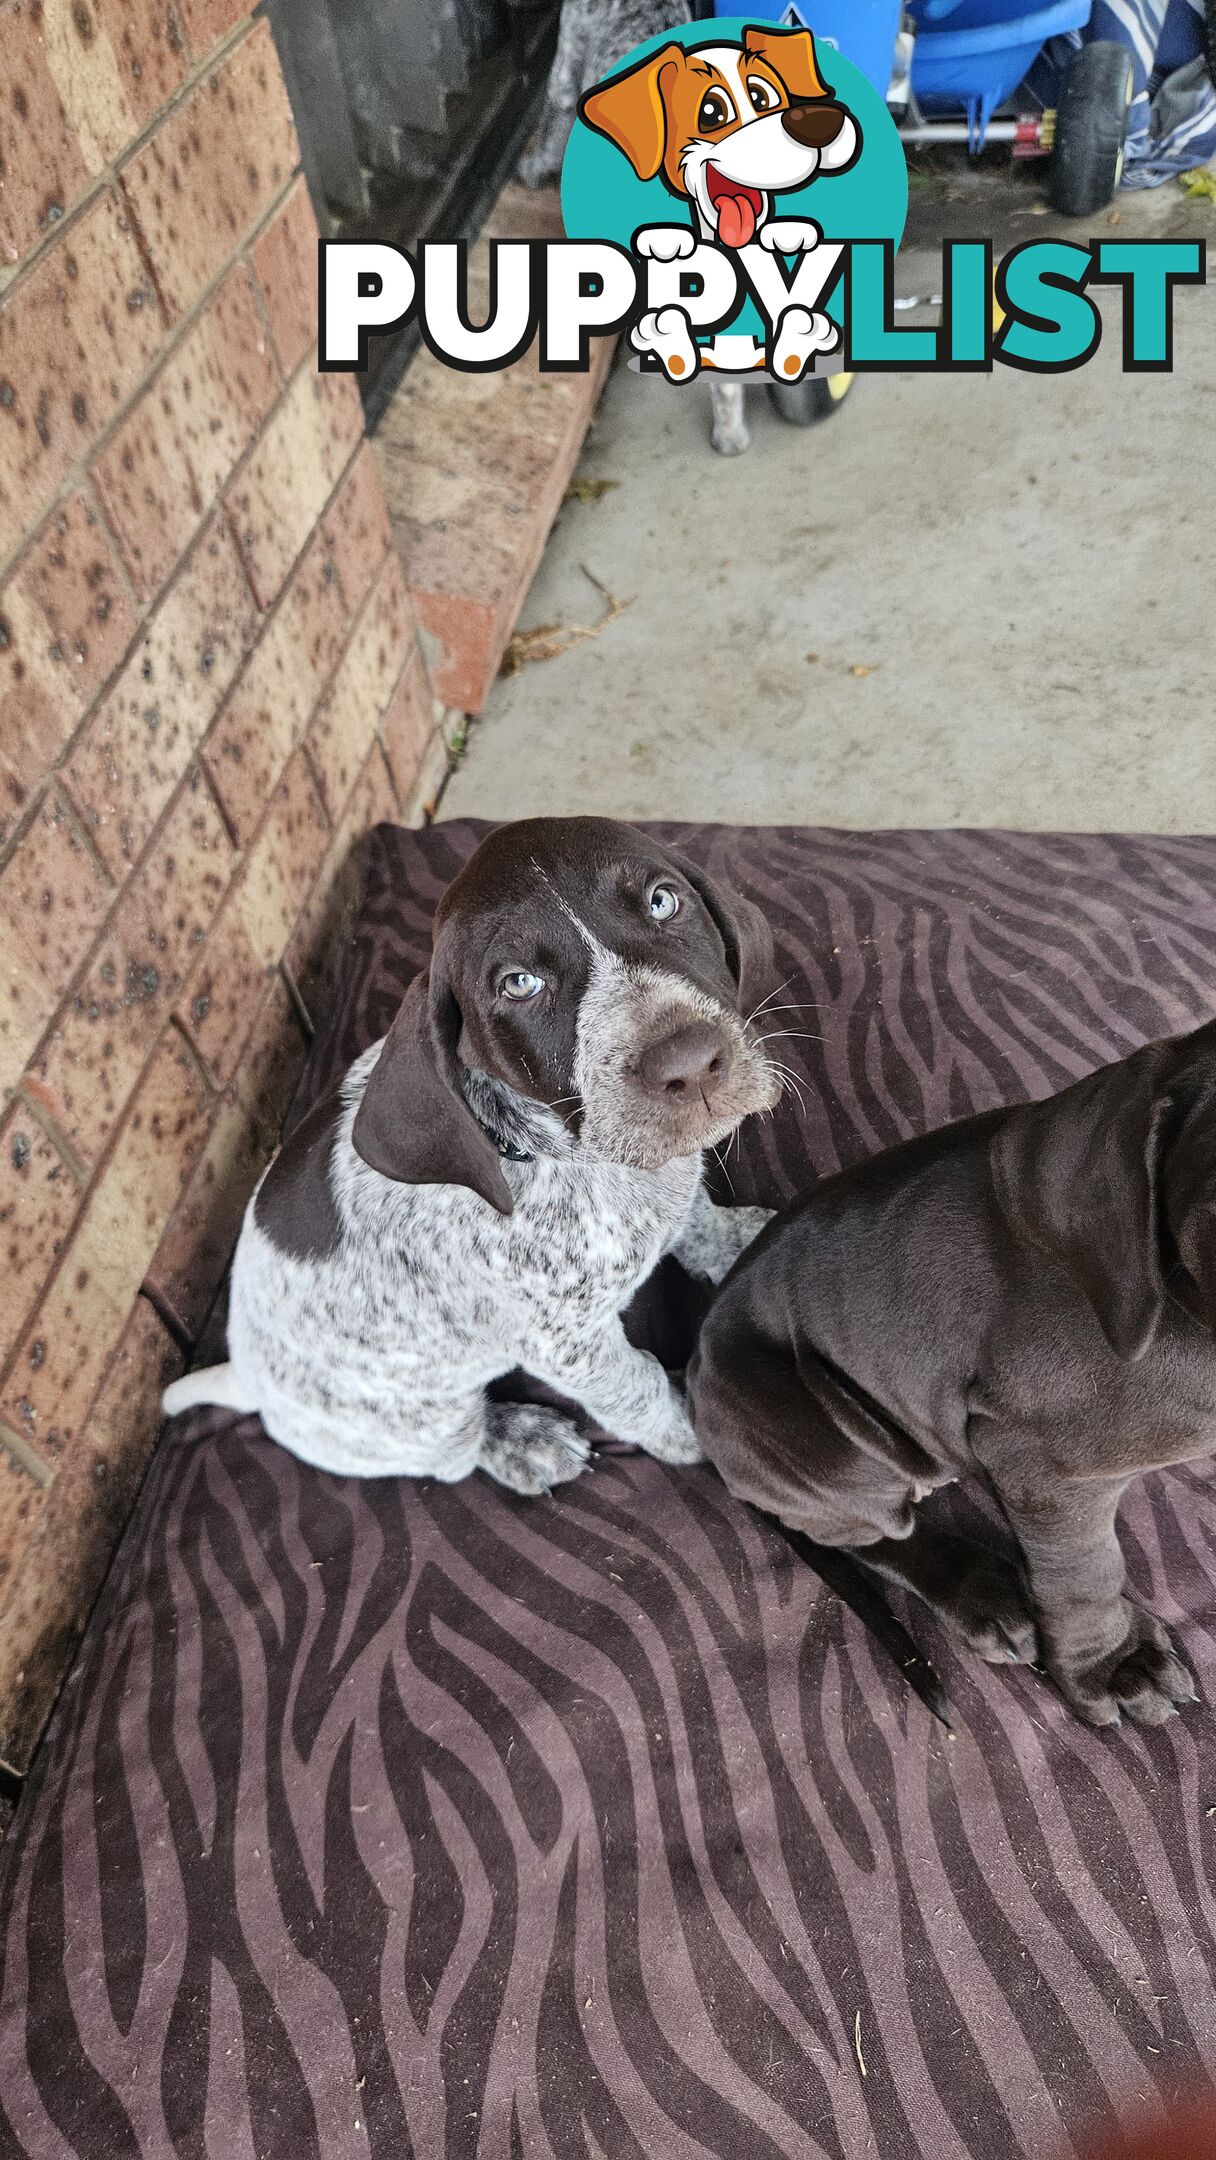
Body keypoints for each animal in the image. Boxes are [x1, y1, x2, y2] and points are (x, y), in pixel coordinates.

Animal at [164, 816, 781, 1494]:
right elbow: (635, 1389)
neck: (574, 1161)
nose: (690, 1065)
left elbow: (696, 1218)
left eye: (662, 901)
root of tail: (246, 1378)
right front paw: (692, 1426)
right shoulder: (567, 1343)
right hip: (420, 1419)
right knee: (455, 1452)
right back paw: (523, 1442)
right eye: (519, 984)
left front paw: (739, 1239)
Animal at [691, 1019, 1216, 1728]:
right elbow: (1083, 1571)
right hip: (820, 1443)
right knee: (864, 1531)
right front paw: (1112, 1663)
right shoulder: (1046, 1468)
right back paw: (979, 1592)